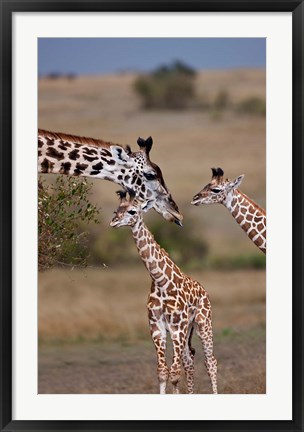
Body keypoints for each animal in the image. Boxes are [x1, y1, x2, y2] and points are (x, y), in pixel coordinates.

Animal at [110, 190, 217, 394]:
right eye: (116, 210)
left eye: (132, 211)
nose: (113, 222)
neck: (160, 281)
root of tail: (204, 291)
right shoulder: (156, 327)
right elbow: (162, 372)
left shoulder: (177, 327)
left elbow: (174, 374)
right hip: (188, 330)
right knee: (189, 359)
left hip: (202, 324)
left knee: (211, 362)